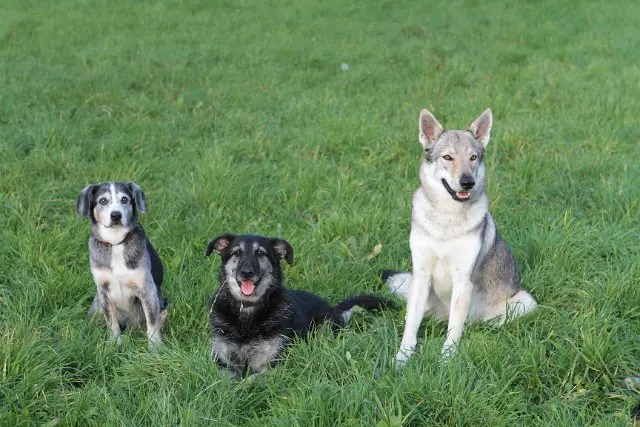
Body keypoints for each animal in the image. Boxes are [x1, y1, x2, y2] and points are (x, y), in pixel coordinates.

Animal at [76, 181, 166, 348]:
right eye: (103, 200)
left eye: (125, 199)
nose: (116, 215)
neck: (115, 243)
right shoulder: (103, 291)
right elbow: (112, 322)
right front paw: (114, 343)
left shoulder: (147, 289)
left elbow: (152, 321)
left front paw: (155, 347)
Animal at [208, 234, 392, 378]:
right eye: (237, 252)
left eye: (260, 253)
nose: (247, 272)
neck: (247, 310)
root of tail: (334, 309)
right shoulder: (225, 363)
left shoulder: (271, 366)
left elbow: (247, 382)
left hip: (323, 329)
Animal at [388, 108, 536, 366]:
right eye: (448, 157)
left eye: (473, 157)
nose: (468, 182)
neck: (446, 220)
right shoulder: (422, 274)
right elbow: (411, 327)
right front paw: (402, 358)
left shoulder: (462, 281)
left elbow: (454, 329)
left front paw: (446, 361)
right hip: (413, 286)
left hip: (525, 302)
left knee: (480, 322)